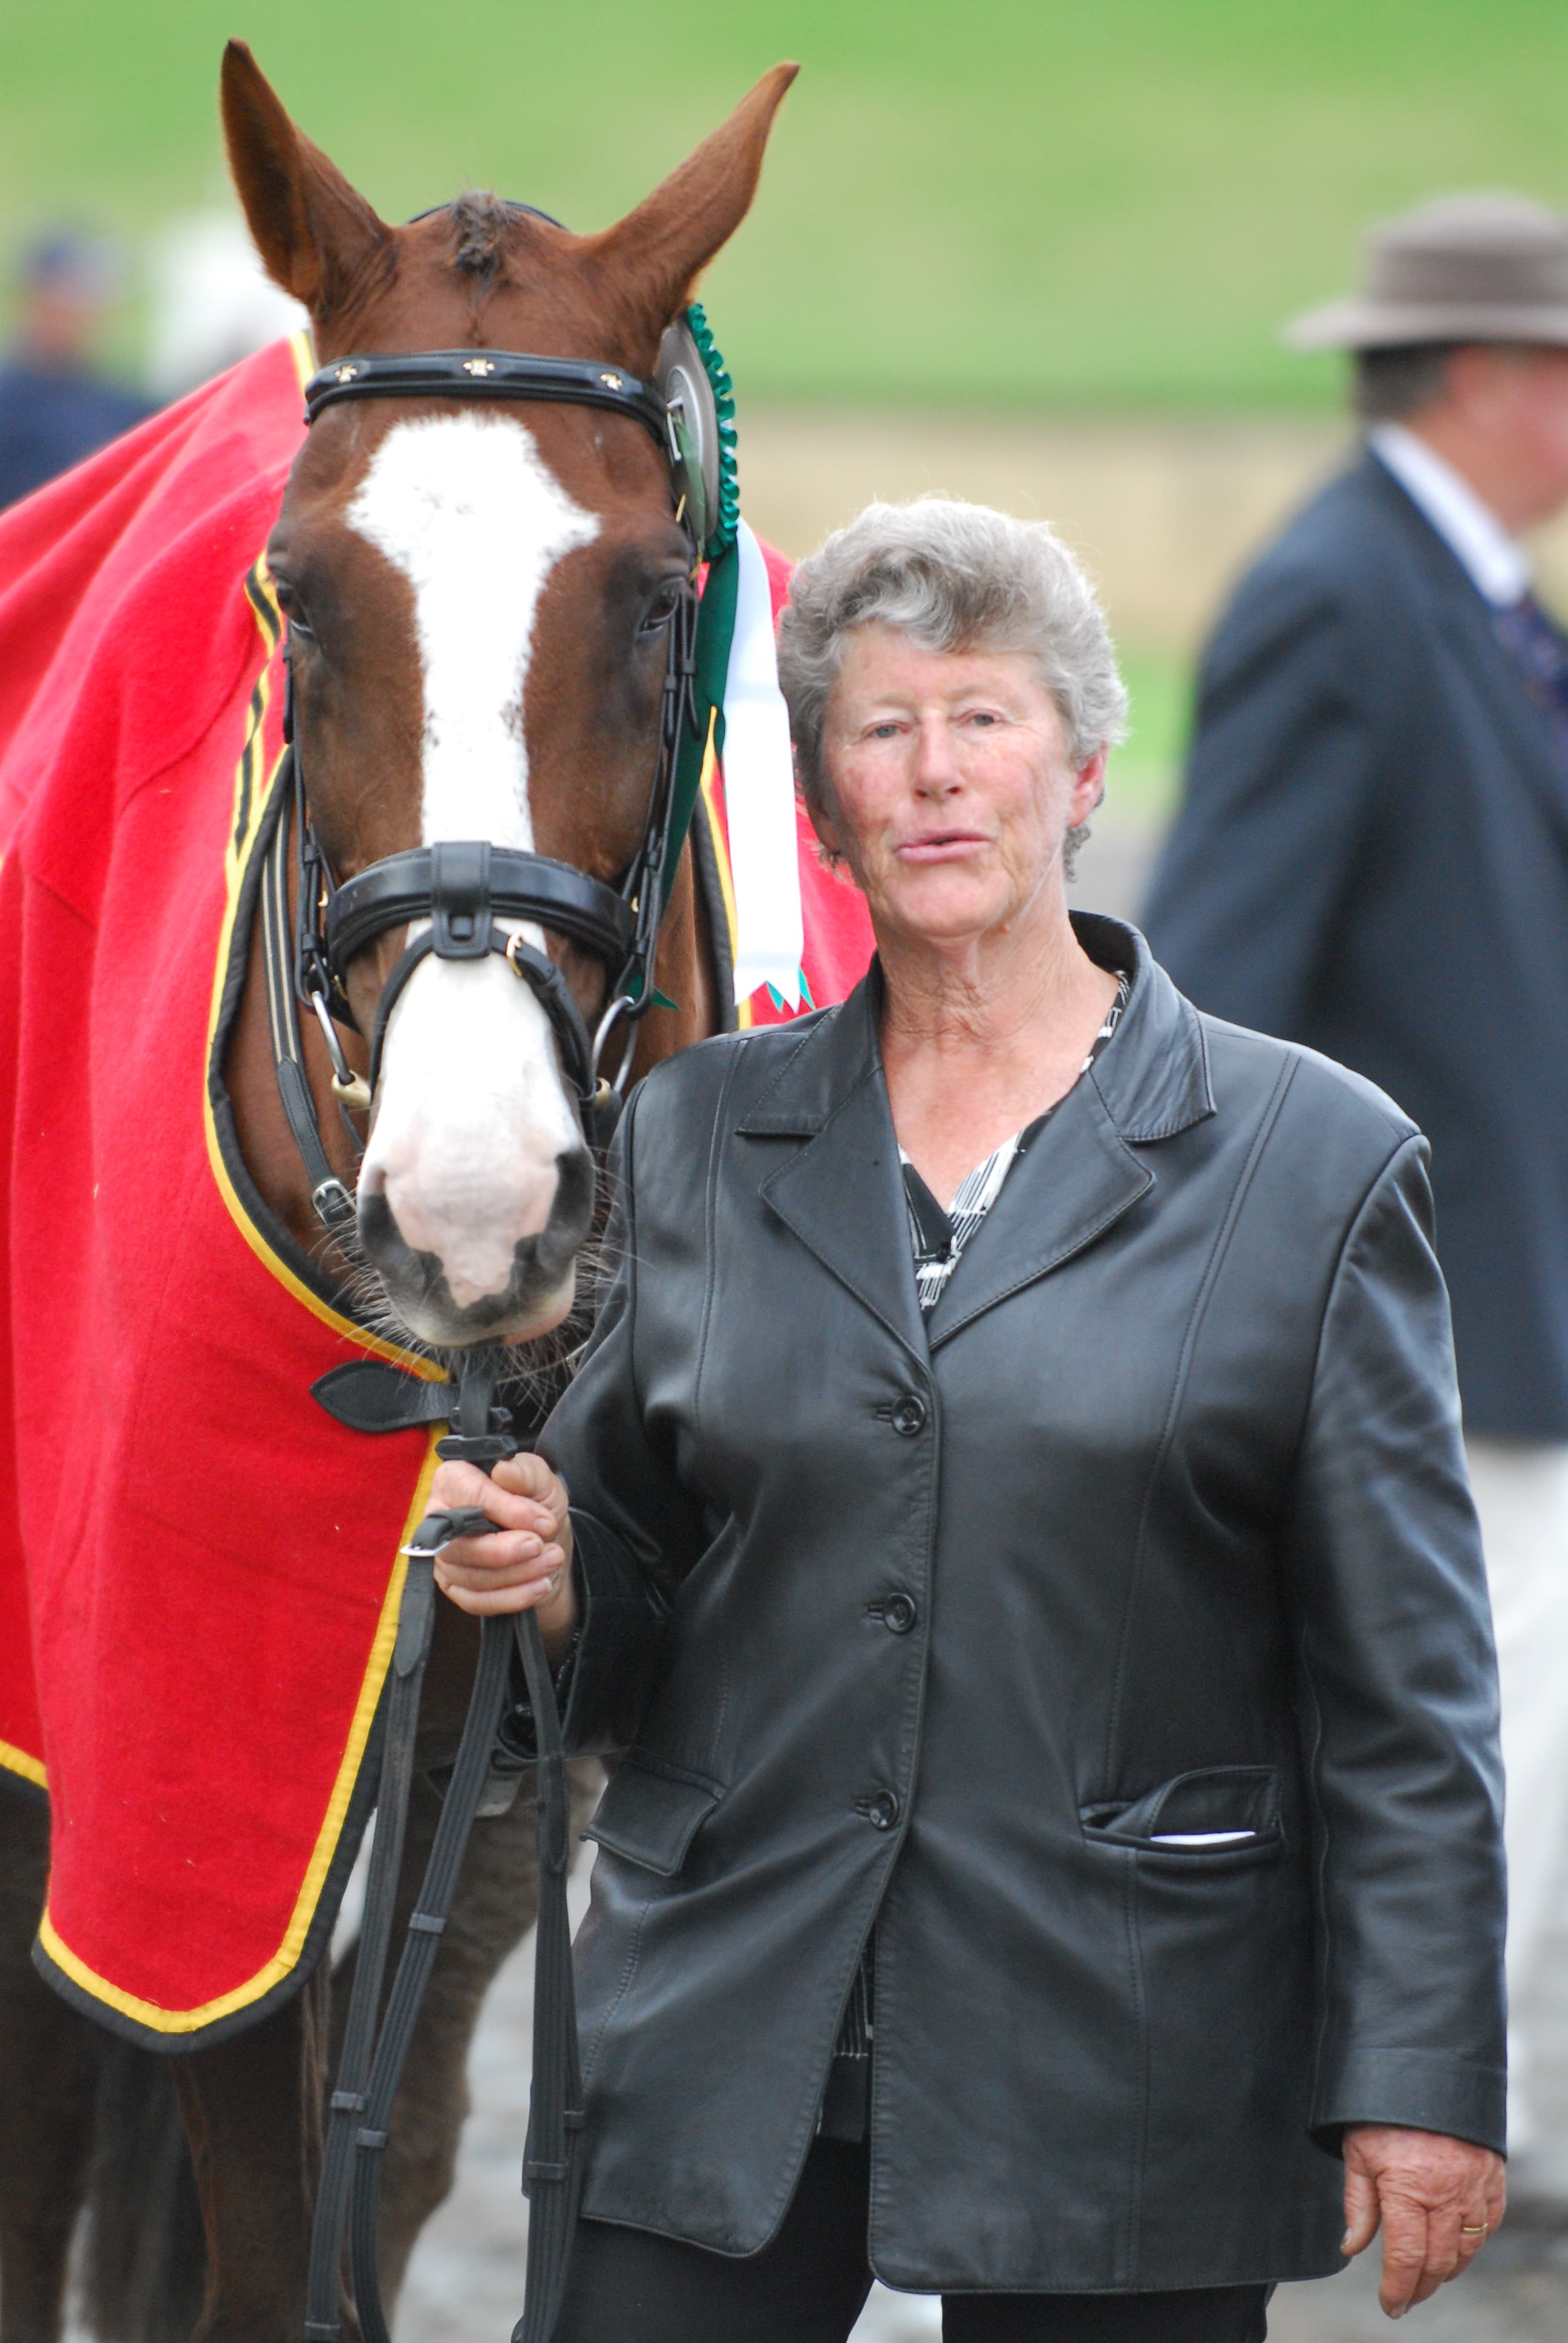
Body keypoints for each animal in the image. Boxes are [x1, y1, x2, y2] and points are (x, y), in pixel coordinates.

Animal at [0, 42, 865, 2343]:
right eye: (296, 594)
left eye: (656, 593)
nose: (478, 1205)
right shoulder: (190, 1752)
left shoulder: (491, 1774)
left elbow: (379, 2182)